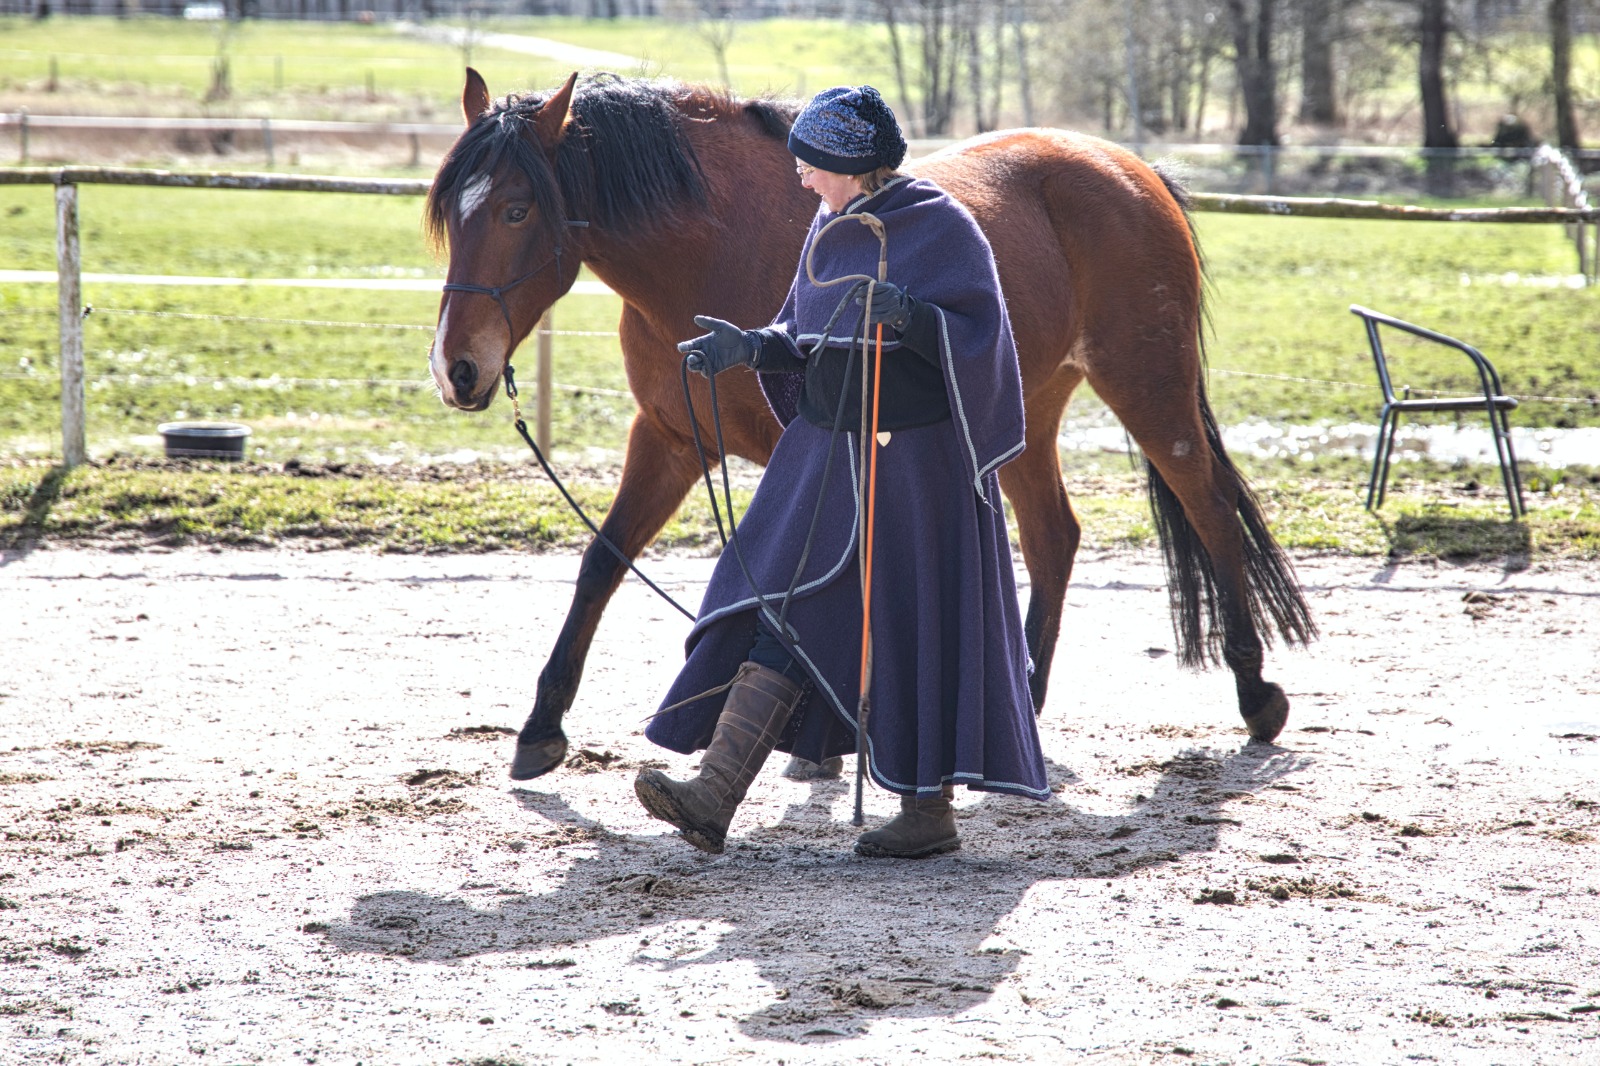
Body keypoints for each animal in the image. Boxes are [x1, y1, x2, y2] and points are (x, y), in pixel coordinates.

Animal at [425, 70, 1312, 777]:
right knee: (1054, 534)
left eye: (515, 210)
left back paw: (1256, 693)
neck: (722, 252)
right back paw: (1022, 699)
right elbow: (601, 565)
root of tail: (1129, 168)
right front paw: (541, 726)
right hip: (1020, 408)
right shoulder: (671, 442)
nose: (456, 369)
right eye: (451, 217)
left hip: (1149, 389)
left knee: (1208, 508)